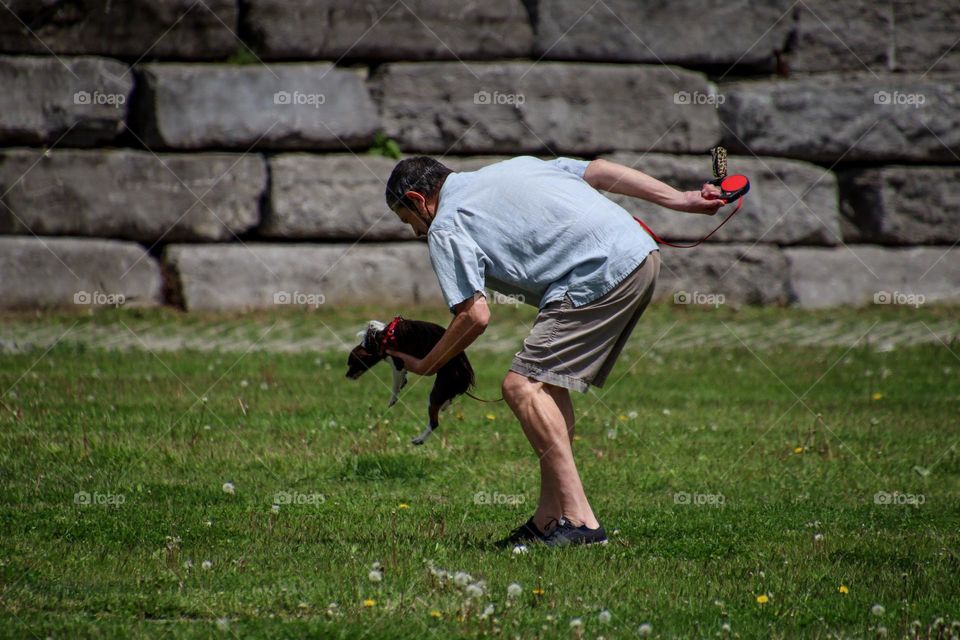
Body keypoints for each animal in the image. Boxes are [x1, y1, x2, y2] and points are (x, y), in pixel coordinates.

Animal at [348, 316, 476, 444]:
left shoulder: (397, 363)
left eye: (352, 364)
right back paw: (444, 405)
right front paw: (403, 382)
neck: (380, 337)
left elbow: (395, 385)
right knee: (447, 401)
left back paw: (419, 439)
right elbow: (401, 379)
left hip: (437, 393)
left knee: (434, 422)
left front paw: (393, 399)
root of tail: (467, 374)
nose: (347, 376)